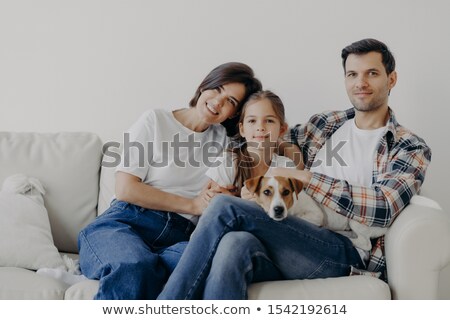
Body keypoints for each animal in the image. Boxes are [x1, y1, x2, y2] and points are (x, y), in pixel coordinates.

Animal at [243, 174, 386, 251]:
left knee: (365, 243)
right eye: (266, 192)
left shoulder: (317, 215)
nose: (279, 209)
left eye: (286, 192)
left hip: (356, 218)